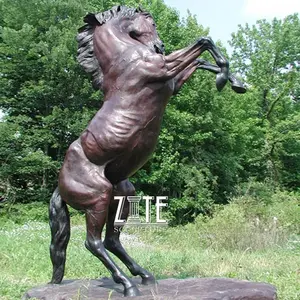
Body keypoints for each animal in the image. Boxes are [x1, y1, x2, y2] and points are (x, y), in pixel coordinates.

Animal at [48, 5, 246, 298]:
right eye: (150, 22)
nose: (158, 46)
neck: (125, 58)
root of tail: (60, 186)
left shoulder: (172, 83)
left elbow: (199, 60)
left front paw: (237, 83)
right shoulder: (162, 67)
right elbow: (203, 42)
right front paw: (224, 77)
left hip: (121, 196)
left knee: (112, 240)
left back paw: (144, 276)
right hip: (97, 199)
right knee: (93, 243)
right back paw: (128, 285)